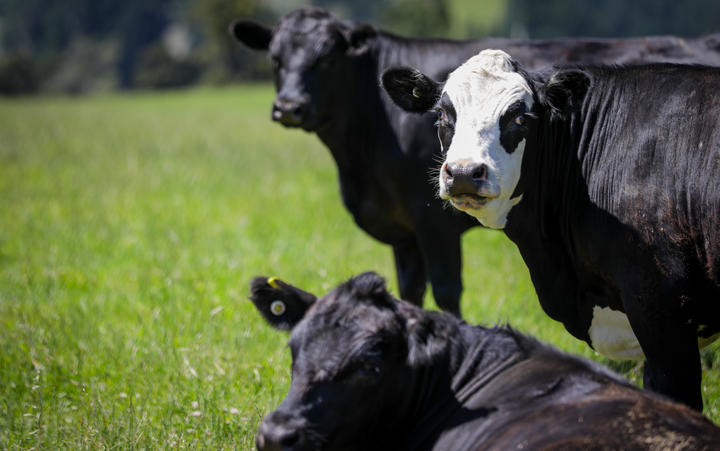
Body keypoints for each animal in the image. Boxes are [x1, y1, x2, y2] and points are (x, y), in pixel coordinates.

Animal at [232, 7, 720, 318]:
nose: (288, 106)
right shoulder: (404, 233)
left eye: (326, 57)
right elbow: (410, 291)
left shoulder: (434, 222)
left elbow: (447, 292)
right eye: (275, 58)